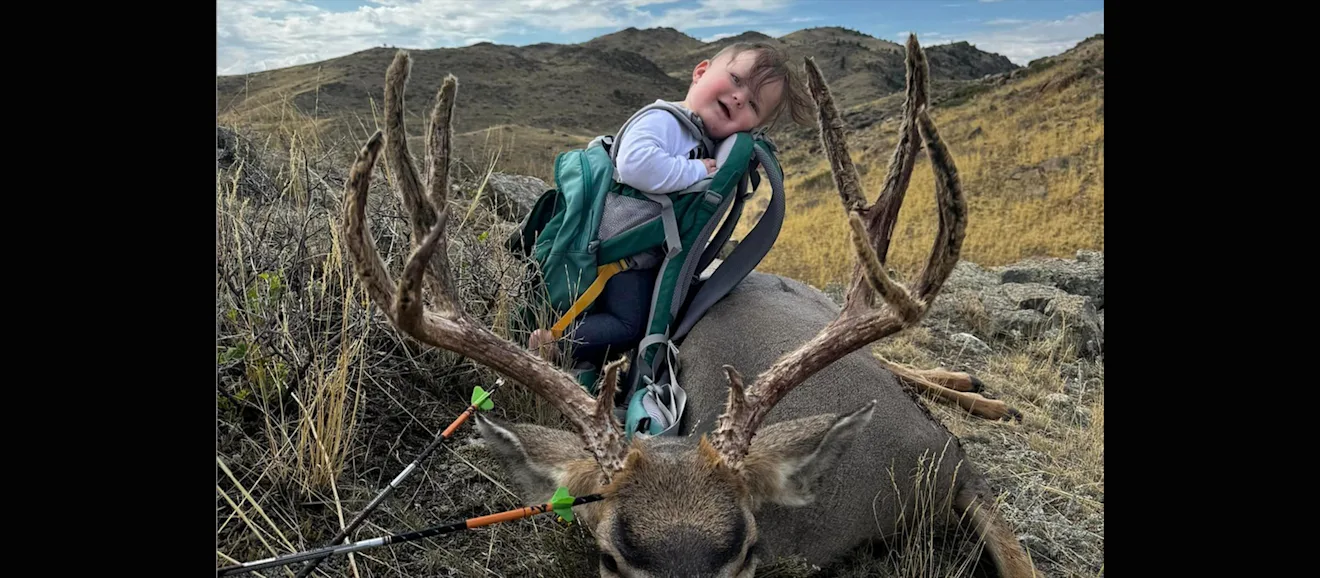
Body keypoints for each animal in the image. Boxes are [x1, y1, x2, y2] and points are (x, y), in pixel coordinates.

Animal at [341, 34, 1039, 578]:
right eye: (612, 558)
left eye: (745, 552)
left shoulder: (956, 468)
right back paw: (978, 389)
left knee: (897, 363)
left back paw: (984, 394)